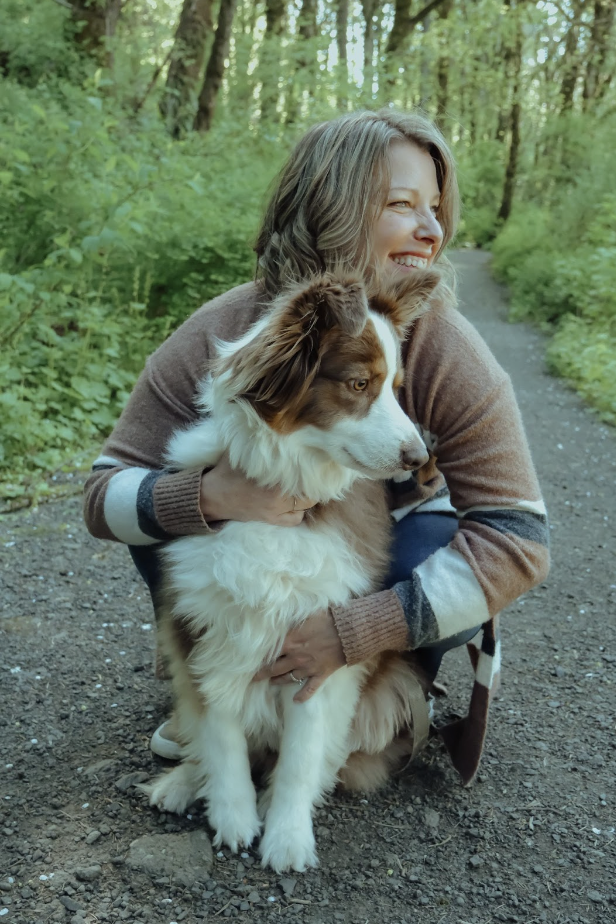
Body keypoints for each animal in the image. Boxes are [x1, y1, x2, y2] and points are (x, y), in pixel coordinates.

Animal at [143, 268, 442, 872]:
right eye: (359, 384)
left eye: (397, 387)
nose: (419, 457)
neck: (287, 488)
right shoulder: (205, 633)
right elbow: (221, 735)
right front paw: (232, 818)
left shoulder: (321, 648)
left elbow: (302, 755)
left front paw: (285, 837)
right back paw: (184, 782)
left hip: (388, 685)